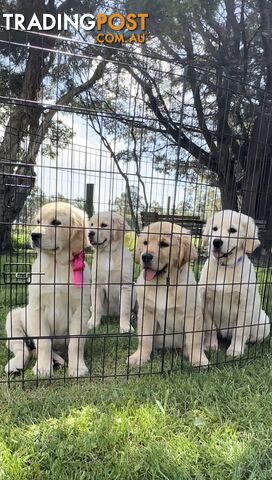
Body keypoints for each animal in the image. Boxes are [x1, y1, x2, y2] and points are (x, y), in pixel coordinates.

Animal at [5, 201, 90, 376]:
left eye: (56, 222)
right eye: (38, 221)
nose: (33, 235)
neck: (58, 264)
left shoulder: (80, 311)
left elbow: (76, 344)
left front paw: (77, 367)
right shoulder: (38, 309)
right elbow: (44, 342)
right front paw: (43, 368)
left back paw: (57, 360)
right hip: (13, 318)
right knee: (23, 349)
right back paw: (15, 365)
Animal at [127, 221, 208, 368]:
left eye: (164, 244)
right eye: (145, 242)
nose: (145, 257)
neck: (163, 285)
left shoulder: (192, 314)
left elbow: (194, 340)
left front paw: (199, 359)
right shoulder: (147, 312)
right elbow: (145, 338)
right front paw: (139, 357)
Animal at [199, 210, 270, 356]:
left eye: (232, 230)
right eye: (214, 229)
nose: (216, 242)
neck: (224, 267)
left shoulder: (245, 305)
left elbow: (240, 331)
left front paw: (235, 350)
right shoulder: (205, 302)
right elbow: (210, 327)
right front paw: (211, 345)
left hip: (265, 321)